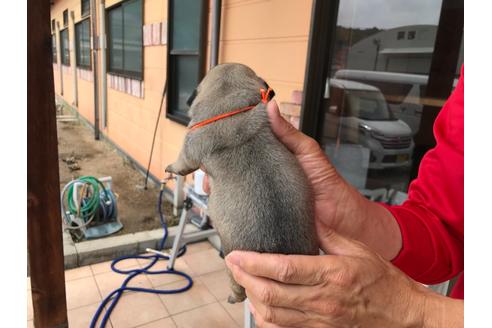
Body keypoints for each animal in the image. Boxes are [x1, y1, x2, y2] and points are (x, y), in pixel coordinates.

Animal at [165, 62, 320, 304]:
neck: (229, 105)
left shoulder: (188, 150)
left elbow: (181, 163)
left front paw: (171, 168)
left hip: (232, 262)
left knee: (238, 288)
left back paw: (233, 297)